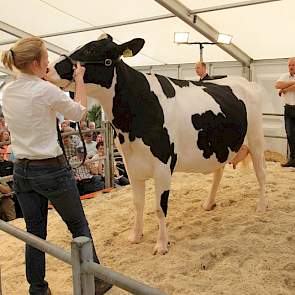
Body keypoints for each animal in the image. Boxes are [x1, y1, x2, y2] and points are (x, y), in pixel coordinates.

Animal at [46, 34, 268, 256]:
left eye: (91, 50)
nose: (48, 68)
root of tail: (244, 81)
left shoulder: (163, 165)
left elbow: (160, 207)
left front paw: (161, 245)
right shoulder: (130, 164)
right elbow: (138, 203)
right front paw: (135, 236)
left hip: (256, 139)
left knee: (261, 173)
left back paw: (262, 207)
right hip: (219, 145)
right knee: (218, 172)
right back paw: (208, 203)